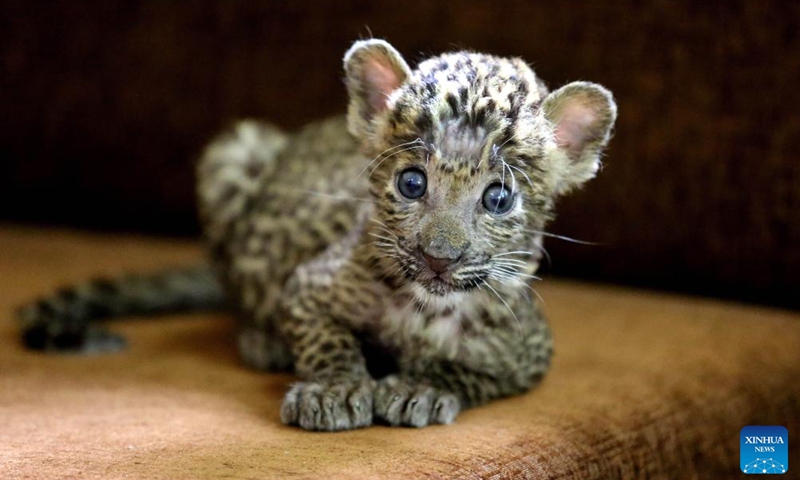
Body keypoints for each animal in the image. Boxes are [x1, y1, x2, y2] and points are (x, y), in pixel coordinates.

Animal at [17, 39, 616, 431]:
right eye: (412, 182)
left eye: (498, 198)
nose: (437, 258)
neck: (423, 307)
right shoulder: (307, 287)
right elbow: (327, 338)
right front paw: (336, 389)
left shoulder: (529, 353)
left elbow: (468, 371)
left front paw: (421, 386)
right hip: (235, 151)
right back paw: (262, 343)